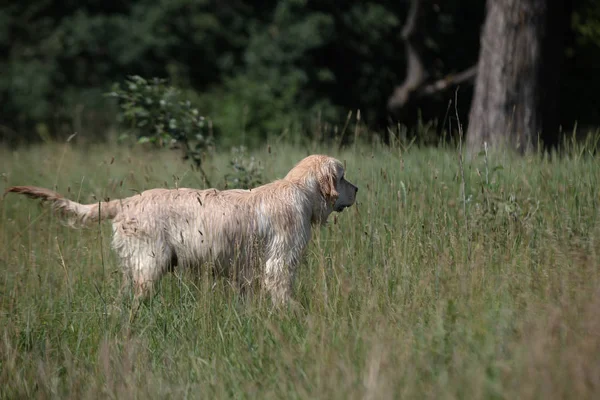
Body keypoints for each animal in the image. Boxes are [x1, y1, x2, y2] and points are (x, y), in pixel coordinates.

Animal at [4, 155, 358, 304]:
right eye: (342, 177)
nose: (357, 189)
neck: (300, 191)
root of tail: (126, 202)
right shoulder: (280, 262)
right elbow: (284, 294)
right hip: (150, 264)